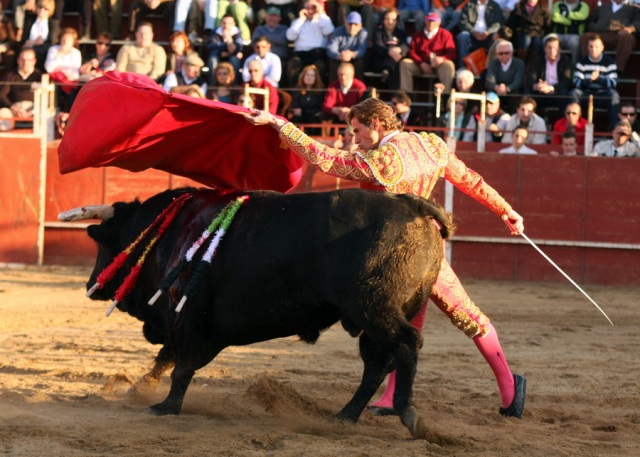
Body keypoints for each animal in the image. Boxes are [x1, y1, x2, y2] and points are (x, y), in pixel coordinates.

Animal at [72, 187, 452, 436]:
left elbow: (180, 364)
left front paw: (165, 406)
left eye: (104, 243)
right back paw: (344, 417)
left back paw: (406, 412)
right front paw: (142, 389)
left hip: (373, 307)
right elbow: (170, 357)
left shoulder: (186, 311)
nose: (92, 284)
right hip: (375, 316)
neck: (172, 231)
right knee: (377, 363)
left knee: (405, 345)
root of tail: (411, 204)